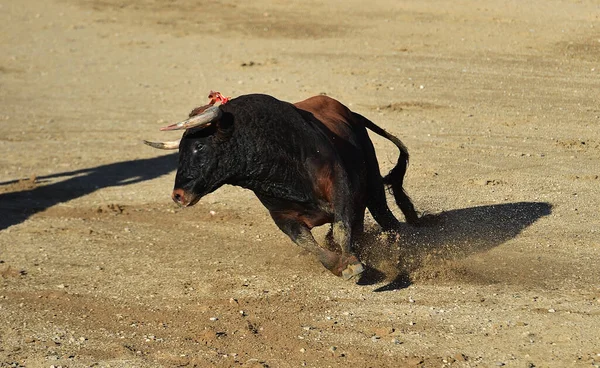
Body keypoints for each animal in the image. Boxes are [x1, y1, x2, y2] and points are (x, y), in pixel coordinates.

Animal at [144, 93, 432, 280]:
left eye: (199, 146)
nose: (178, 195)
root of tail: (352, 115)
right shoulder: (282, 216)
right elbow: (306, 242)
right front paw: (339, 265)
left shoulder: (340, 188)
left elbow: (341, 228)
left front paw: (352, 263)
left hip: (372, 186)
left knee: (386, 219)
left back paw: (403, 251)